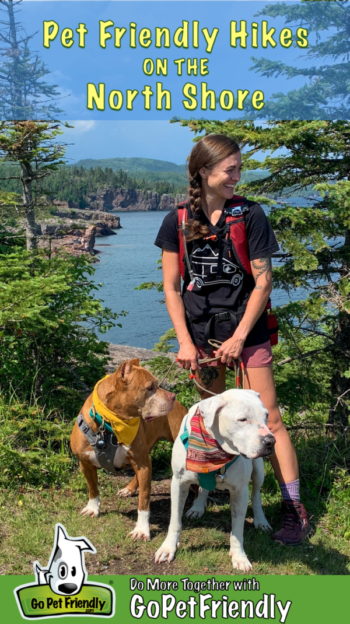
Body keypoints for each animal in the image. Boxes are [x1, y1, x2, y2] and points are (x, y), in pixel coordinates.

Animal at [69, 360, 187, 540]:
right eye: (150, 387)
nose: (173, 396)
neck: (110, 422)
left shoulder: (142, 462)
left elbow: (144, 500)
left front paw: (142, 530)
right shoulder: (85, 462)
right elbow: (93, 487)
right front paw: (92, 508)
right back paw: (129, 489)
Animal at [154, 392, 274, 572]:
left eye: (266, 415)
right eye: (242, 419)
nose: (270, 441)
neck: (215, 450)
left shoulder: (240, 491)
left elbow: (237, 529)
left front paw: (239, 557)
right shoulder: (178, 483)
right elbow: (175, 520)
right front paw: (168, 548)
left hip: (259, 471)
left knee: (256, 494)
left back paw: (261, 520)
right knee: (203, 489)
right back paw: (197, 507)